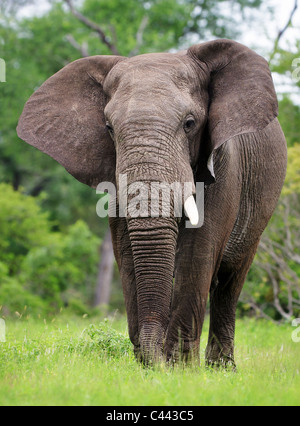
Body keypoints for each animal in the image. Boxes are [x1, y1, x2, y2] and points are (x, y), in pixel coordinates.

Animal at [17, 39, 288, 366]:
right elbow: (126, 251)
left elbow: (198, 250)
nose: (155, 359)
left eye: (190, 123)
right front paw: (151, 366)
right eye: (108, 128)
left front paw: (180, 368)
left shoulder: (226, 164)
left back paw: (221, 369)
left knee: (230, 280)